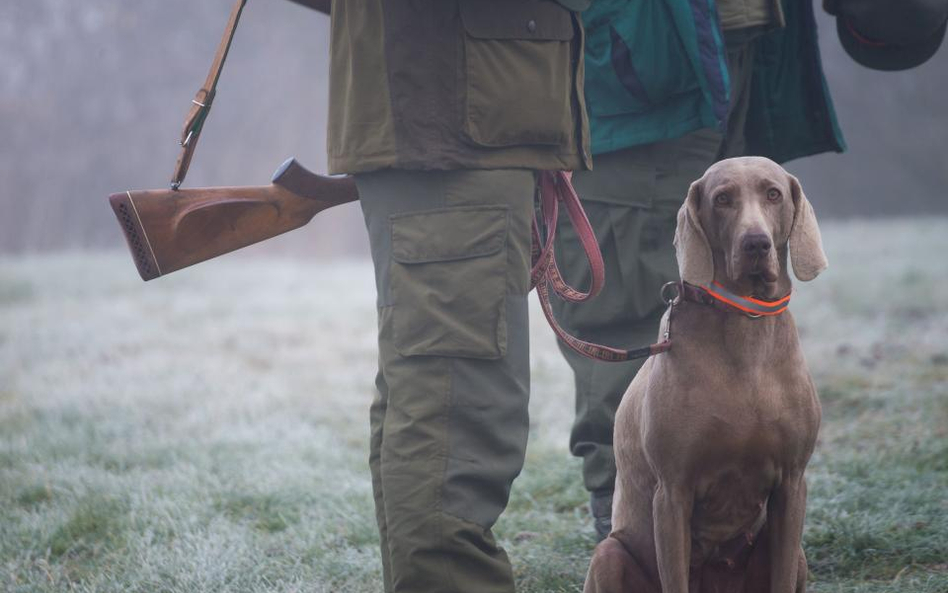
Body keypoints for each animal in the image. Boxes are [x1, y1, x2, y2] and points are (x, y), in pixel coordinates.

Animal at [588, 156, 824, 592]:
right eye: (722, 199)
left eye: (773, 194)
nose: (756, 243)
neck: (745, 328)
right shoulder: (672, 492)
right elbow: (674, 575)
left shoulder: (792, 484)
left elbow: (782, 573)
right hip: (608, 554)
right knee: (611, 552)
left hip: (796, 554)